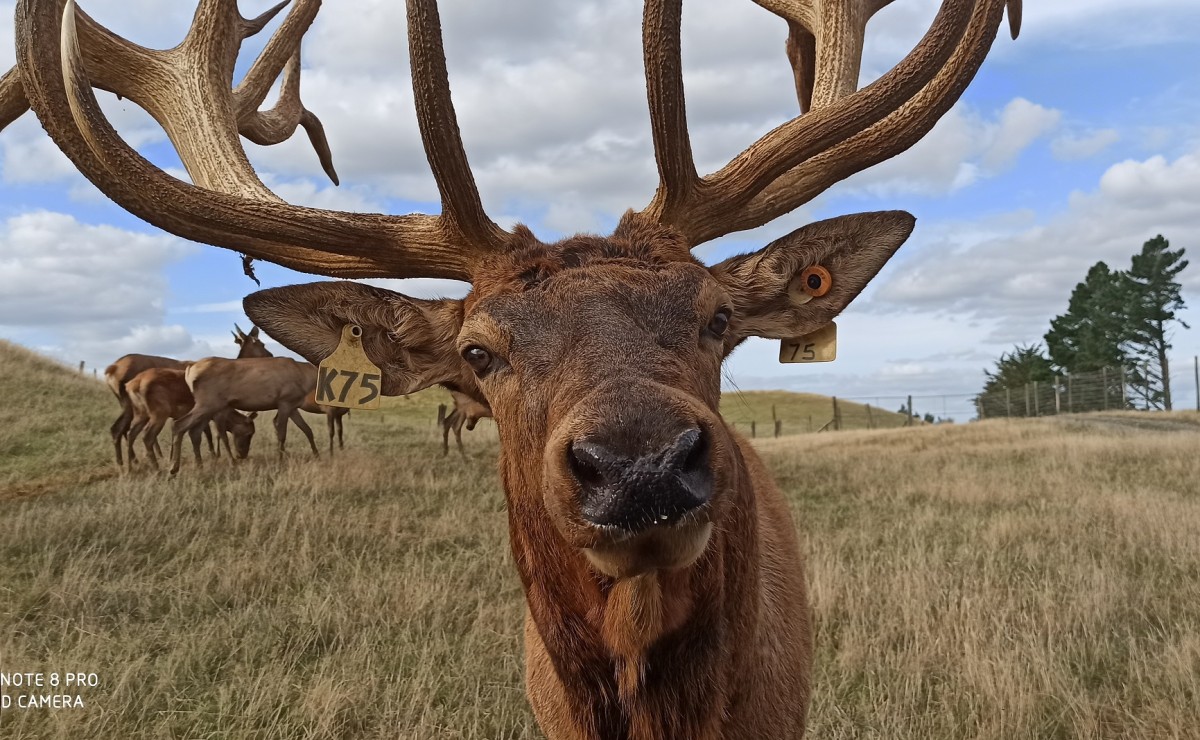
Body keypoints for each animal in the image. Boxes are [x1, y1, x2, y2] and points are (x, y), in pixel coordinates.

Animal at [125, 367, 256, 469]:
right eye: (250, 433)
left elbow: (196, 436)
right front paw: (230, 462)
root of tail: (132, 384)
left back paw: (130, 468)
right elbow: (221, 435)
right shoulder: (217, 414)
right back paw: (157, 469)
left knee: (130, 433)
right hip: (159, 413)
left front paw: (201, 462)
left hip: (140, 413)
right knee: (147, 436)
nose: (242, 455)